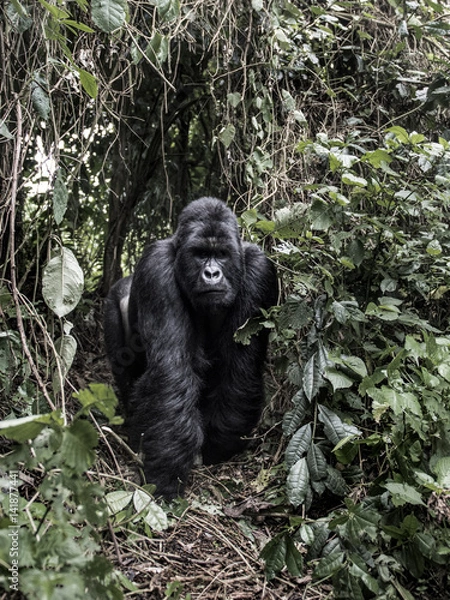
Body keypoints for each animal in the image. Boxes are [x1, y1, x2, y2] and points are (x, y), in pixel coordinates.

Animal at [103, 197, 276, 496]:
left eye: (222, 254)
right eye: (199, 254)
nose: (212, 273)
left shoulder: (259, 271)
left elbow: (240, 369)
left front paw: (218, 446)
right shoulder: (156, 267)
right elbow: (171, 374)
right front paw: (165, 475)